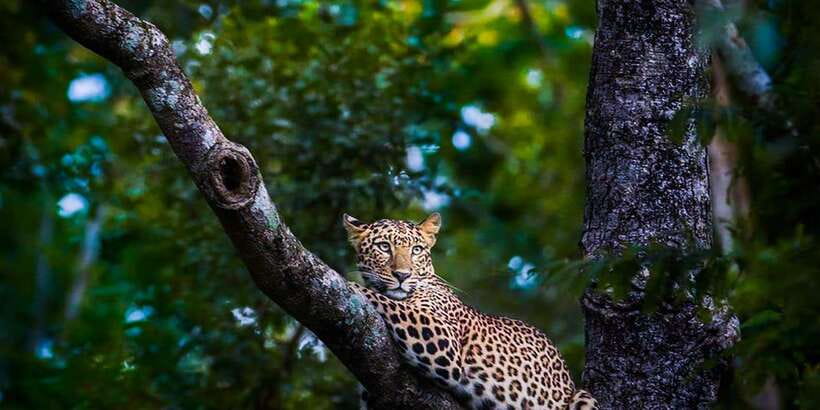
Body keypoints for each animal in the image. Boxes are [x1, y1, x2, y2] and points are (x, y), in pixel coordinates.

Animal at [343, 212, 598, 410]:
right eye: (384, 247)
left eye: (416, 250)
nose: (403, 275)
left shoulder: (443, 340)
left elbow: (385, 301)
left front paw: (349, 285)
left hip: (583, 397)